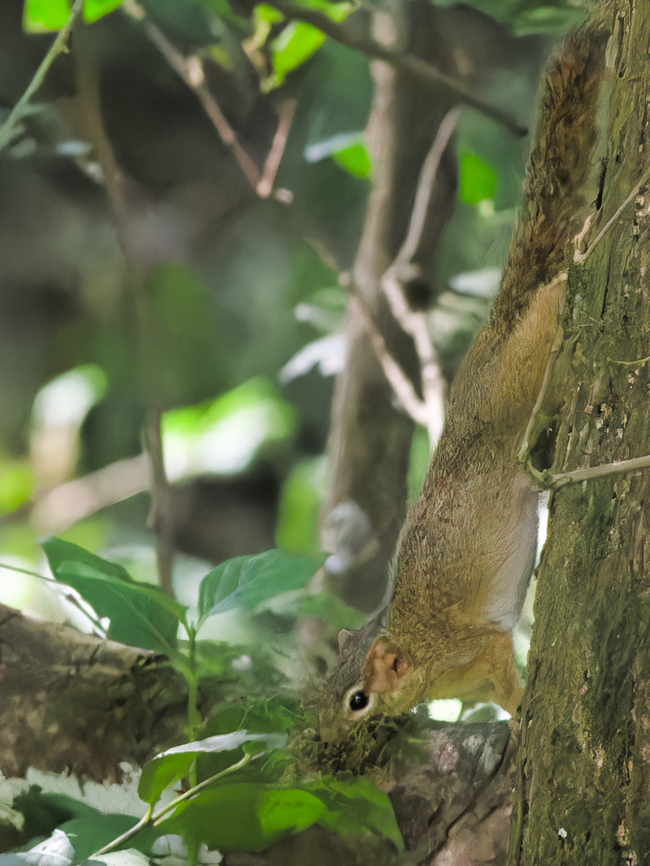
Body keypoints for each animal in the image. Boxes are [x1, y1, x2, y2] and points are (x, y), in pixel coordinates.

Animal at [314, 30, 614, 744]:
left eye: (357, 700)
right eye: (326, 686)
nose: (324, 739)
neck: (417, 650)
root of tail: (498, 330)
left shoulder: (478, 649)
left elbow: (506, 668)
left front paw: (527, 714)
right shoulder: (471, 678)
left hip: (528, 363)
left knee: (557, 295)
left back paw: (584, 244)